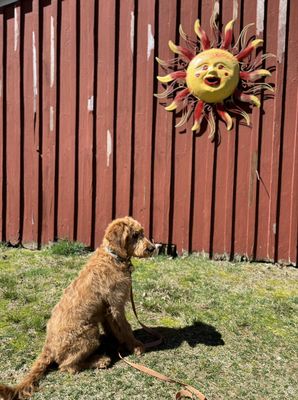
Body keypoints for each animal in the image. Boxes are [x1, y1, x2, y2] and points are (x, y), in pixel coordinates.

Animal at [0, 217, 155, 398]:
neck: (113, 257)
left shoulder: (107, 311)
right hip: (90, 333)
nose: (152, 248)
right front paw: (136, 346)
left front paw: (118, 342)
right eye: (135, 235)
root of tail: (48, 346)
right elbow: (126, 328)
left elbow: (114, 329)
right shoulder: (116, 305)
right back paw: (99, 360)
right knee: (67, 366)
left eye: (142, 233)